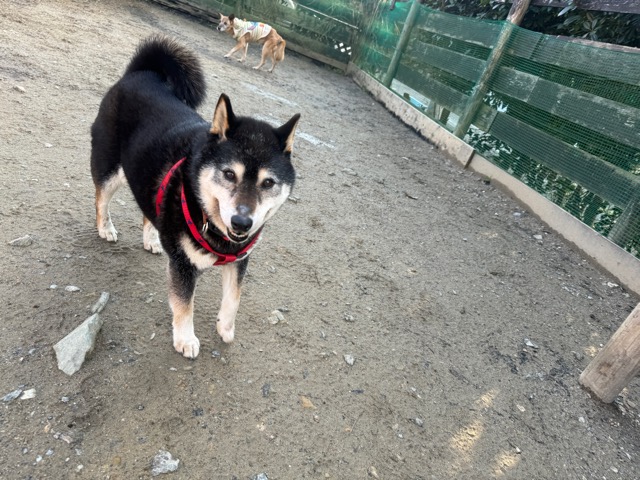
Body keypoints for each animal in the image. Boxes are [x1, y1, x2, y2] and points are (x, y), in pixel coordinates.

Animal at [90, 35, 300, 358]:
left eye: (268, 183)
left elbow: (234, 298)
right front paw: (186, 339)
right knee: (101, 197)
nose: (242, 222)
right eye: (229, 174)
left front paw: (225, 328)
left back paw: (152, 239)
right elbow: (184, 305)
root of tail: (140, 73)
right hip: (112, 168)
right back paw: (106, 228)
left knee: (149, 210)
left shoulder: (239, 261)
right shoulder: (183, 266)